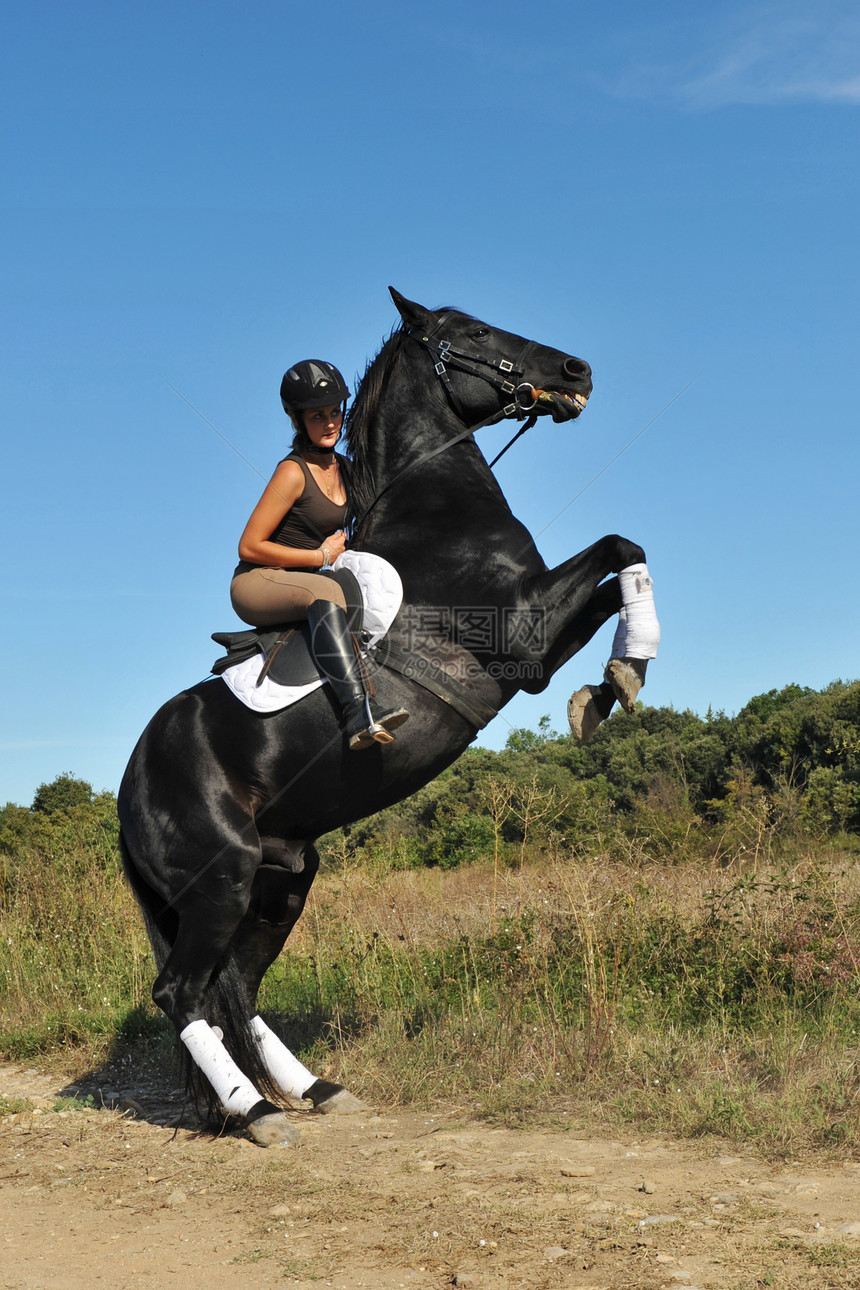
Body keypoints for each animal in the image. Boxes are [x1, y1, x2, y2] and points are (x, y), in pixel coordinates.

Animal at [116, 287, 660, 1145]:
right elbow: (620, 544)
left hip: (283, 878)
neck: (433, 502)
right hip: (220, 879)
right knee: (183, 993)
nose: (577, 371)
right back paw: (254, 1113)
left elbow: (619, 566)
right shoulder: (523, 630)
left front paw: (611, 685)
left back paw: (316, 1090)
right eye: (474, 331)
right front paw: (626, 672)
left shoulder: (536, 646)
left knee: (236, 986)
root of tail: (127, 787)